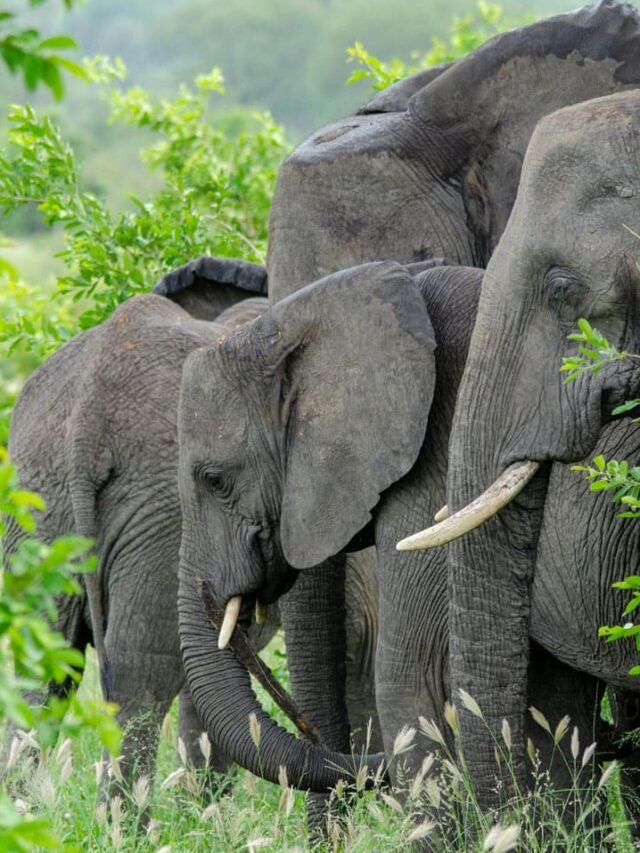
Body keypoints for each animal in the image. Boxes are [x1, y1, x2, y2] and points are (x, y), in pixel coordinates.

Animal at [4, 282, 382, 808]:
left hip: (39, 501)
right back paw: (124, 820)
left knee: (42, 667)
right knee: (142, 671)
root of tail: (89, 409)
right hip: (156, 506)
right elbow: (357, 634)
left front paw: (204, 808)